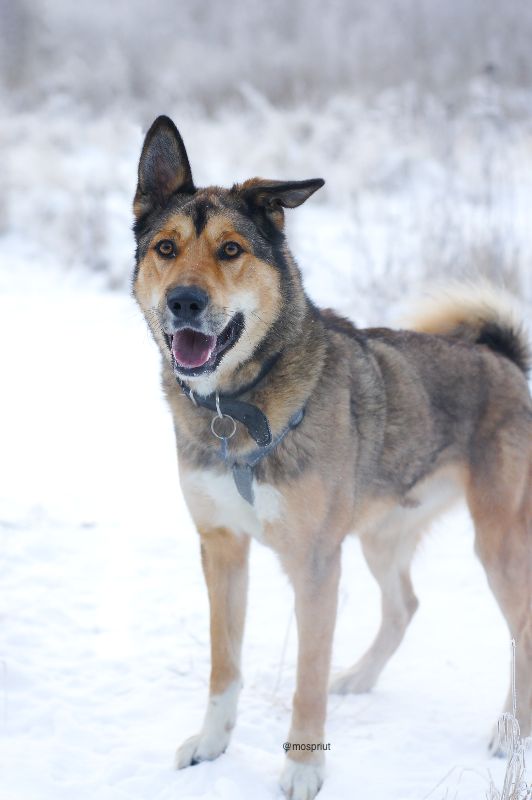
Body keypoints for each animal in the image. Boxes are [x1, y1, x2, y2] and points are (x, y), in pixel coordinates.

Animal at [132, 114, 532, 800]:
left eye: (231, 250)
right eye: (166, 247)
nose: (184, 301)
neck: (238, 408)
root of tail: (502, 358)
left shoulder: (316, 565)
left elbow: (306, 678)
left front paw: (303, 768)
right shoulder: (221, 549)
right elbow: (223, 667)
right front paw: (212, 746)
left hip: (498, 544)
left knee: (521, 632)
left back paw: (511, 732)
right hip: (380, 533)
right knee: (404, 606)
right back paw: (361, 678)